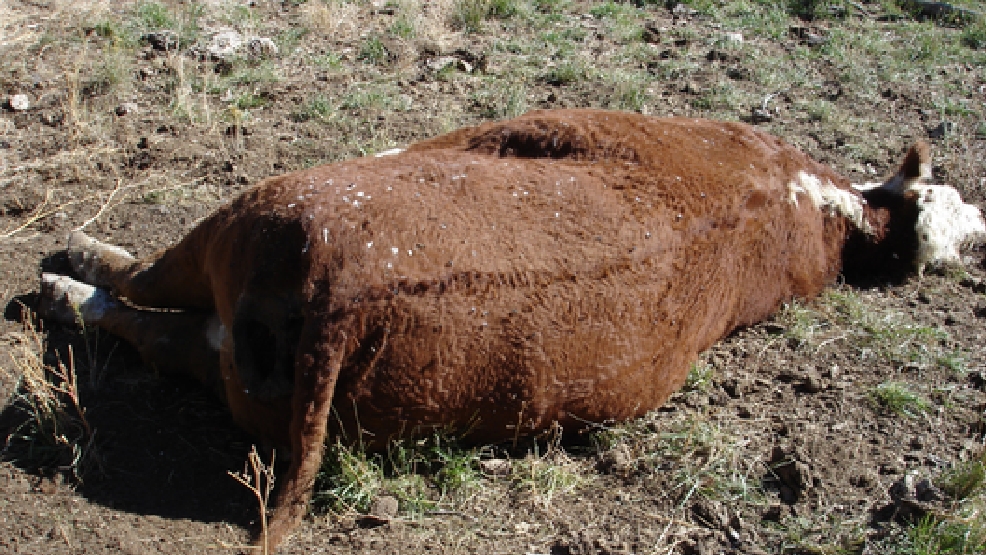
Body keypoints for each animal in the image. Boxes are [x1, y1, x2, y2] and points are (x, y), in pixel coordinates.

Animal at [34, 108, 980, 548]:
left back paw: (64, 271)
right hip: (243, 369)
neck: (810, 206)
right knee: (158, 332)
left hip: (244, 223)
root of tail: (345, 300)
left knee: (134, 288)